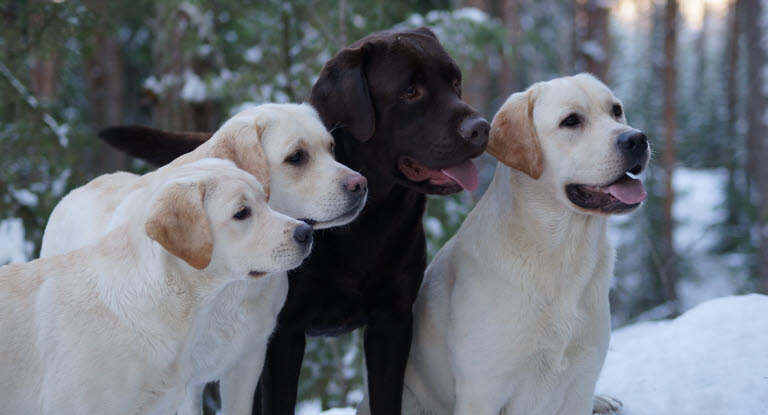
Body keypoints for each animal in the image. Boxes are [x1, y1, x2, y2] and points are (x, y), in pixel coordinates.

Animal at [39, 102, 368, 414]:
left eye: (331, 148)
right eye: (297, 157)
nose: (361, 184)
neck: (227, 286)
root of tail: (77, 190)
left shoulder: (248, 361)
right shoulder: (185, 380)